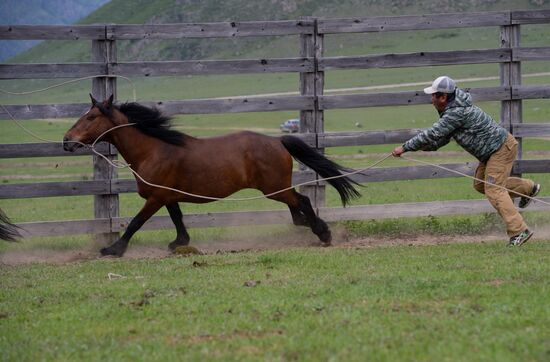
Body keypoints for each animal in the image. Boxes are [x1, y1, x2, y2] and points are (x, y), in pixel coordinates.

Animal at [63, 94, 362, 256]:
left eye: (90, 117)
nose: (67, 141)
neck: (154, 150)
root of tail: (278, 141)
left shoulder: (156, 197)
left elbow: (136, 223)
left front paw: (113, 249)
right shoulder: (168, 196)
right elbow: (178, 219)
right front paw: (179, 243)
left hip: (273, 188)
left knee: (302, 201)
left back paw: (323, 233)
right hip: (276, 189)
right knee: (297, 206)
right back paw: (310, 226)